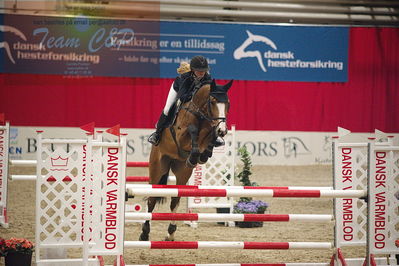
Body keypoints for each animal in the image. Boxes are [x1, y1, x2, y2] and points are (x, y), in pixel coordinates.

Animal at [139, 78, 233, 241]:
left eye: (228, 103)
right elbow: (193, 130)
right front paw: (197, 154)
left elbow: (210, 135)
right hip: (157, 168)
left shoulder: (209, 129)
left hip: (182, 171)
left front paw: (204, 154)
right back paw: (144, 233)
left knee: (175, 200)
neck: (201, 113)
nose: (223, 130)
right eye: (213, 101)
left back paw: (170, 232)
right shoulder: (181, 135)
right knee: (151, 199)